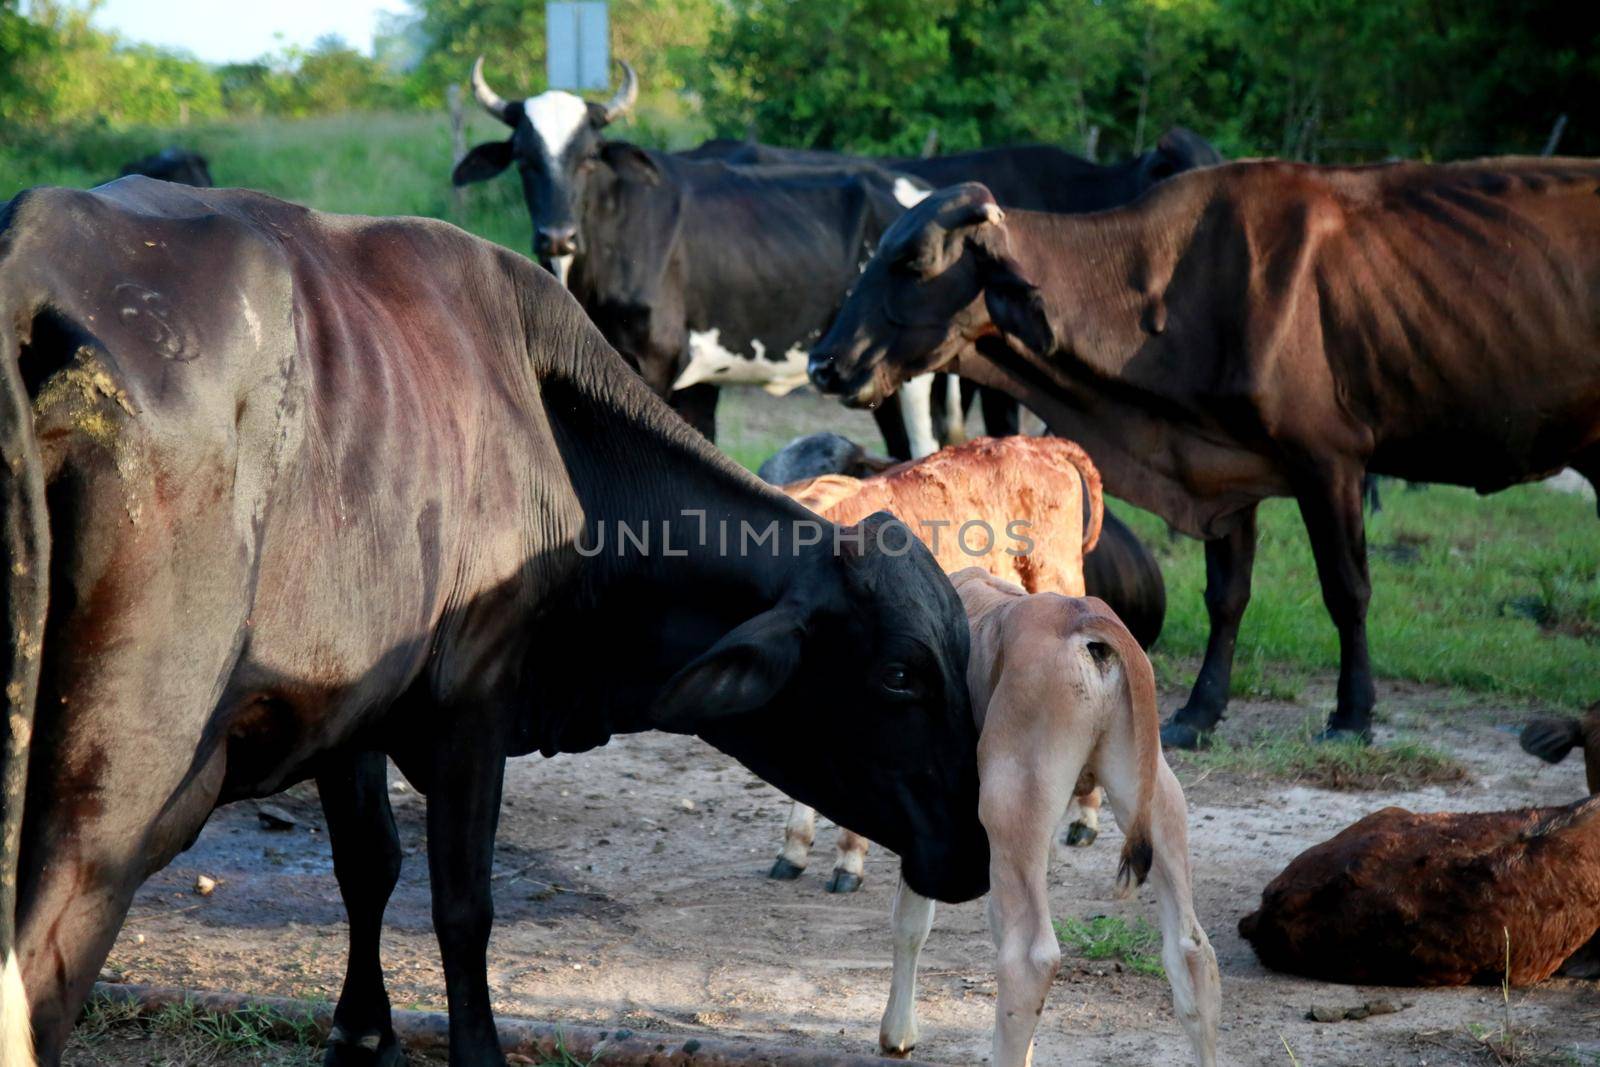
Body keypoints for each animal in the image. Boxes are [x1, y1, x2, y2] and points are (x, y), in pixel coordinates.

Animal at [0, 177, 985, 1067]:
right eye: (901, 674)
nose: (975, 852)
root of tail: (35, 265)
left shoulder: (351, 703)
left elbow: (369, 863)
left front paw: (363, 1031)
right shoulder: (476, 691)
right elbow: (463, 901)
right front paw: (475, 1050)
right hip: (110, 797)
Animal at [812, 164, 1600, 751]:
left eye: (912, 261)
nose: (824, 363)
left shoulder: (1331, 463)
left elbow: (1347, 591)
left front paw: (1352, 714)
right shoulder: (1224, 471)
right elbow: (1227, 596)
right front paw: (1198, 711)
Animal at [883, 572, 1216, 1062]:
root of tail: (1084, 620)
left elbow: (911, 920)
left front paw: (897, 1033)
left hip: (1010, 799)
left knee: (1029, 960)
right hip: (1153, 797)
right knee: (1191, 950)